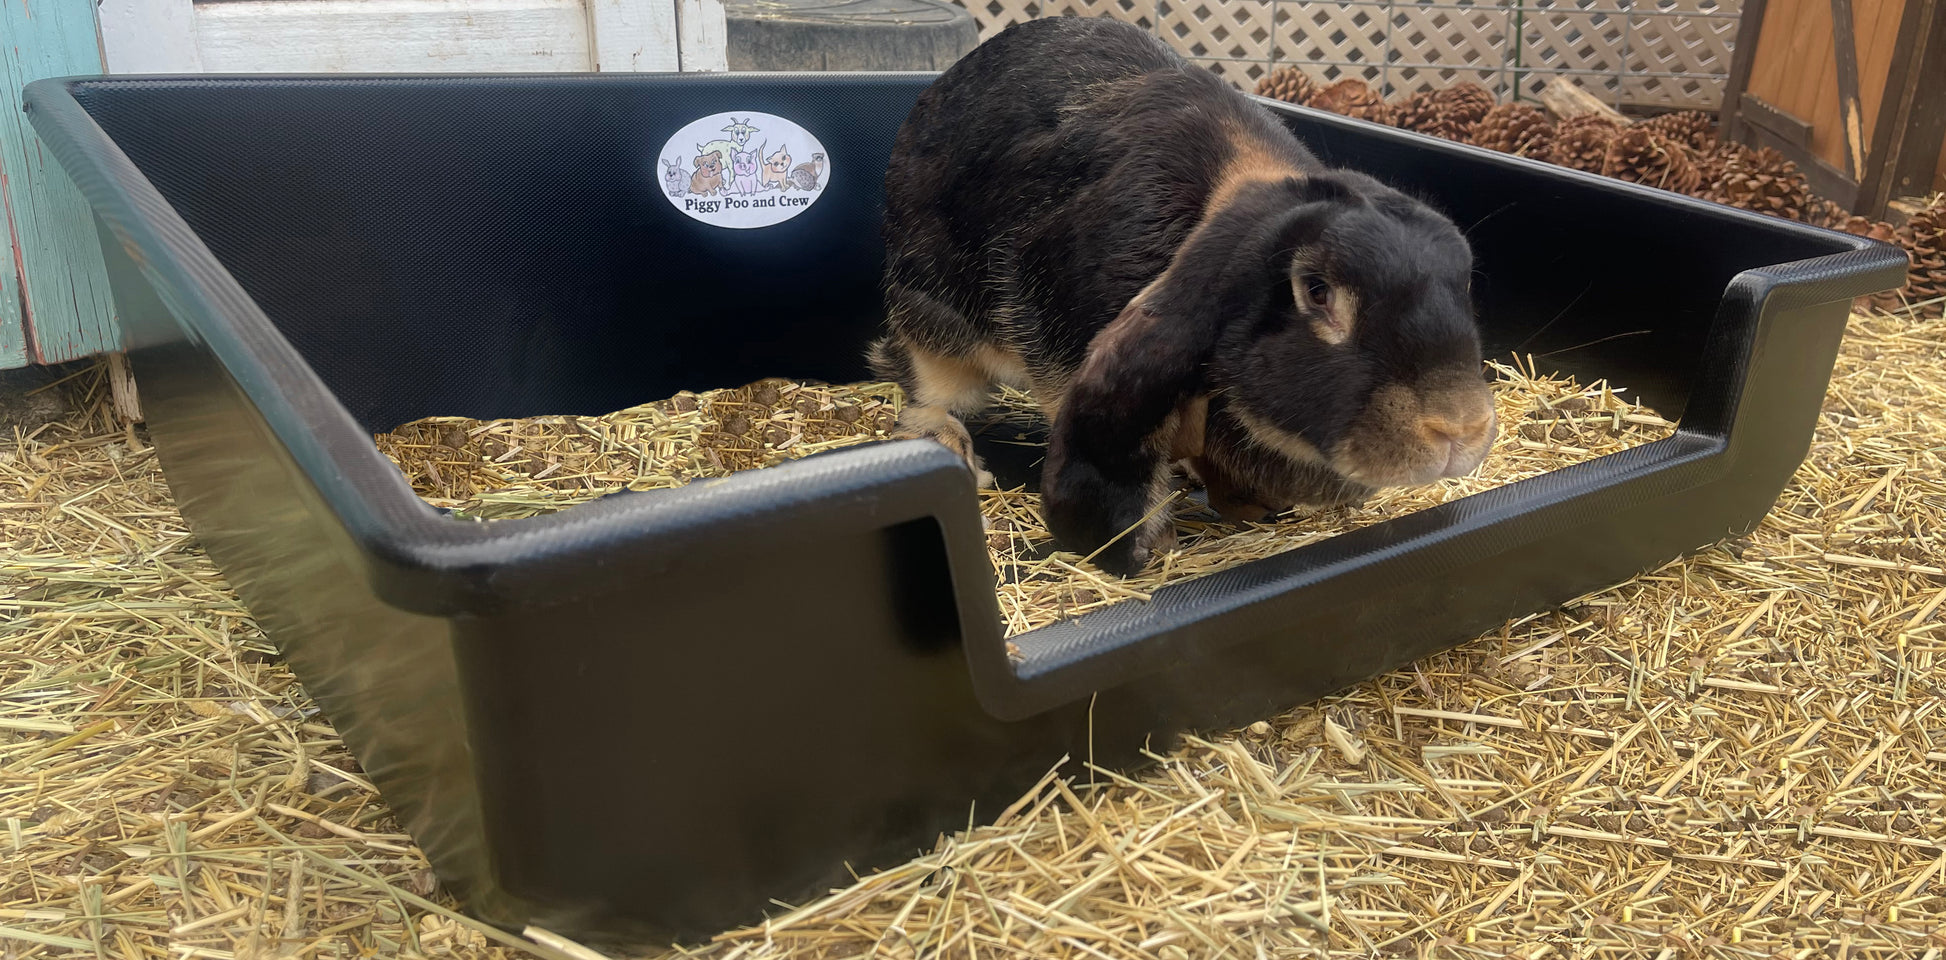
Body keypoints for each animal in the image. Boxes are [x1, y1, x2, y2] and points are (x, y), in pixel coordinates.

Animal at [868, 16, 1496, 576]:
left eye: (1464, 277)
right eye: (1317, 292)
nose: (1459, 429)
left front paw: (1248, 503)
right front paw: (1153, 542)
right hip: (934, 317)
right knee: (924, 390)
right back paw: (954, 453)